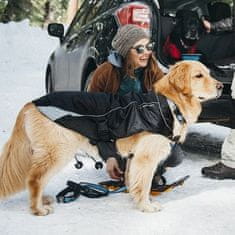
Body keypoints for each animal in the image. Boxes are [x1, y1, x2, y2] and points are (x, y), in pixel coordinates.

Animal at [0, 60, 222, 215]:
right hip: (57, 152)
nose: (221, 86)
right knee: (34, 179)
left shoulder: (134, 157)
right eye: (198, 75)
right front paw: (146, 206)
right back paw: (38, 209)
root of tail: (33, 102)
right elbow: (144, 184)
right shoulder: (146, 158)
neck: (169, 103)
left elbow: (134, 181)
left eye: (209, 74)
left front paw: (134, 197)